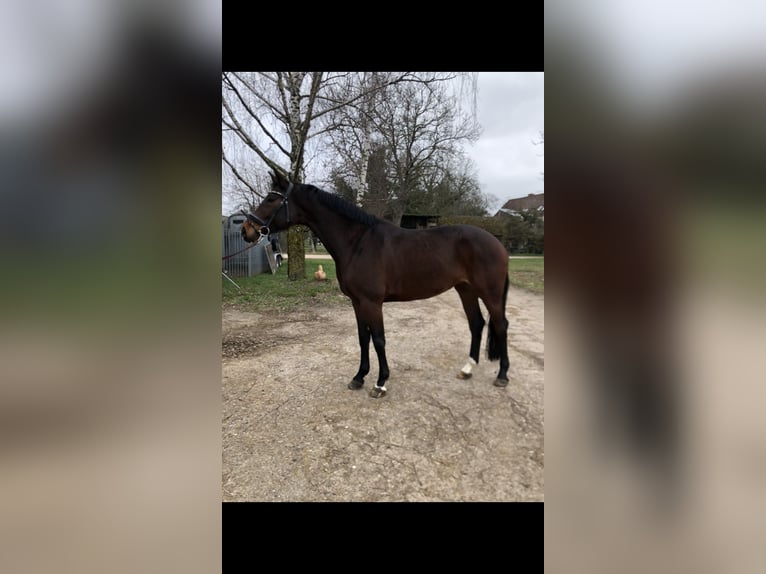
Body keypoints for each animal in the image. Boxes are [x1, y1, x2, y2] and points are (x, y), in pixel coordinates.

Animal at [243, 169, 512, 398]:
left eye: (271, 198)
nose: (247, 229)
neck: (358, 242)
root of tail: (496, 242)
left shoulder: (372, 303)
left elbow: (379, 339)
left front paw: (380, 383)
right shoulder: (357, 302)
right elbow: (364, 338)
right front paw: (359, 377)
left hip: (490, 293)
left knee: (500, 325)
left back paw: (502, 376)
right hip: (466, 289)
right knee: (477, 323)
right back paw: (467, 369)